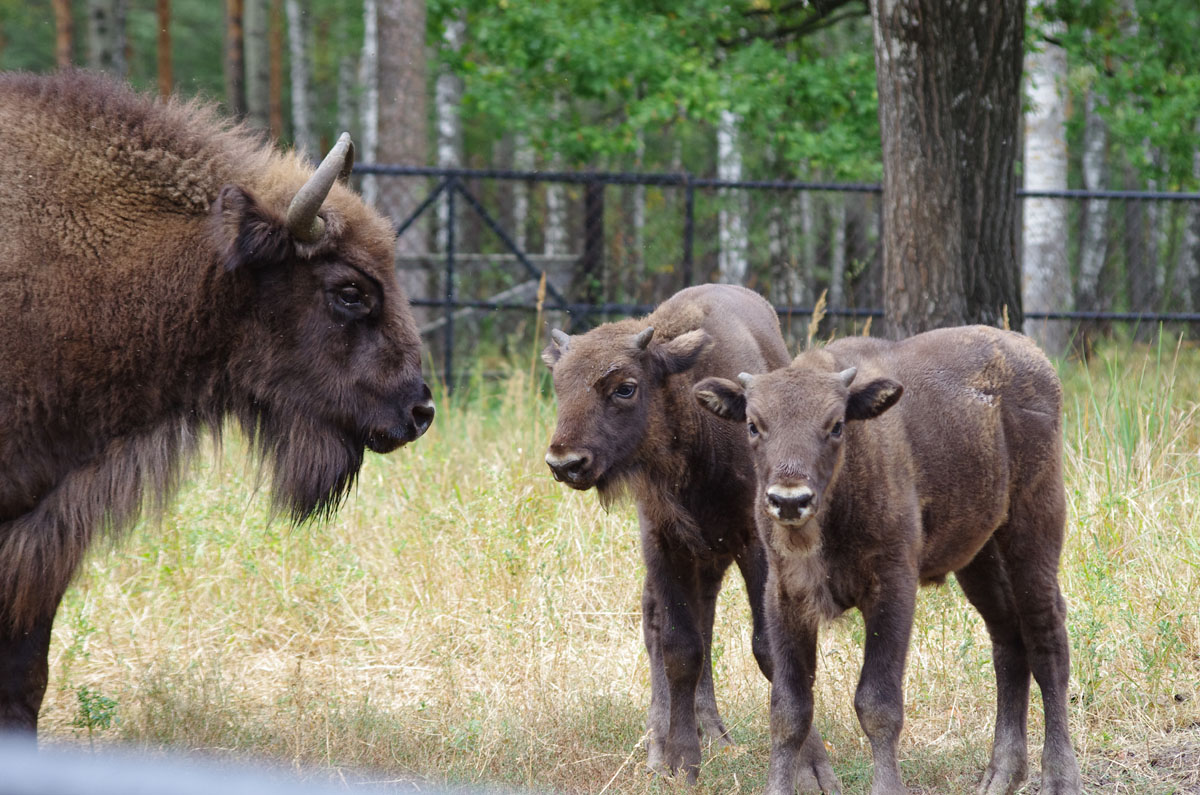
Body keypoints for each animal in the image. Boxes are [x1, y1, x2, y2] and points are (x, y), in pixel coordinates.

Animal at [542, 287, 835, 792]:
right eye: (560, 385)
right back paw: (665, 740)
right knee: (662, 627)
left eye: (625, 387)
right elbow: (681, 647)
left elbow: (771, 650)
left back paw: (713, 734)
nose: (565, 462)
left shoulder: (756, 545)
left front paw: (812, 769)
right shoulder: (663, 540)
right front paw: (679, 760)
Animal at [691, 326, 1084, 795]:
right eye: (754, 424)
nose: (789, 499)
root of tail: (1034, 357)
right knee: (1007, 638)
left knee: (1047, 640)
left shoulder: (892, 588)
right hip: (979, 556)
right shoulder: (785, 598)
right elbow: (789, 711)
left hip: (1034, 528)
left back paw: (1059, 778)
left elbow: (877, 704)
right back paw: (1001, 774)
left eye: (836, 425)